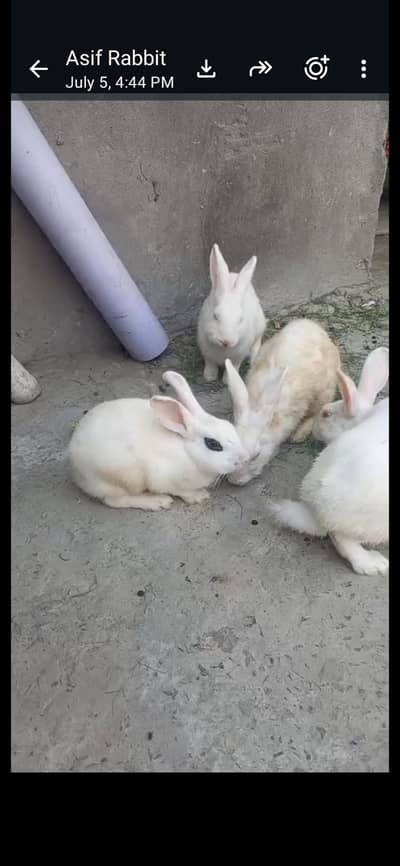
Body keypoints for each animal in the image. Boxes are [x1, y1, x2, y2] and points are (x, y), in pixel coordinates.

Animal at [68, 370, 247, 510]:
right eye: (213, 444)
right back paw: (157, 501)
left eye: (230, 426)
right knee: (115, 500)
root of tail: (74, 465)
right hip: (121, 479)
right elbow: (181, 491)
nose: (241, 460)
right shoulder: (164, 479)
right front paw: (198, 496)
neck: (189, 453)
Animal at [197, 243, 267, 383]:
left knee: (257, 342)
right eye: (215, 316)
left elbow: (234, 367)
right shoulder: (206, 353)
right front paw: (209, 377)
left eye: (240, 319)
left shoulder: (238, 357)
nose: (226, 341)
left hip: (259, 327)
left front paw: (227, 381)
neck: (223, 351)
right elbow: (210, 364)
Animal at [224, 318, 340, 485]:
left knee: (316, 411)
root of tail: (314, 326)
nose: (234, 481)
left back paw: (299, 435)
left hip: (324, 390)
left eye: (256, 456)